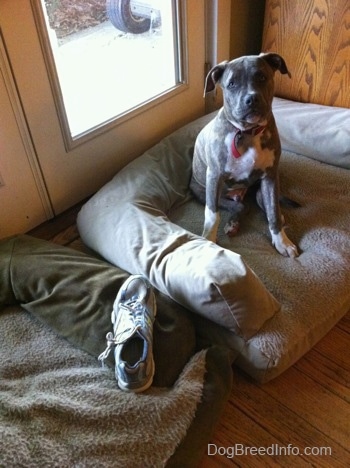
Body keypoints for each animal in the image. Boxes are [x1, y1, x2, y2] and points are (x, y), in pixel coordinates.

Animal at [190, 53, 300, 258]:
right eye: (232, 84)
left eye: (262, 77)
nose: (252, 99)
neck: (247, 132)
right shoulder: (214, 177)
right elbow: (212, 215)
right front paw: (208, 241)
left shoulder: (270, 177)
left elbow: (273, 213)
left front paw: (282, 241)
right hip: (200, 191)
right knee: (240, 206)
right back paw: (233, 223)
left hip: (263, 188)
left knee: (263, 205)